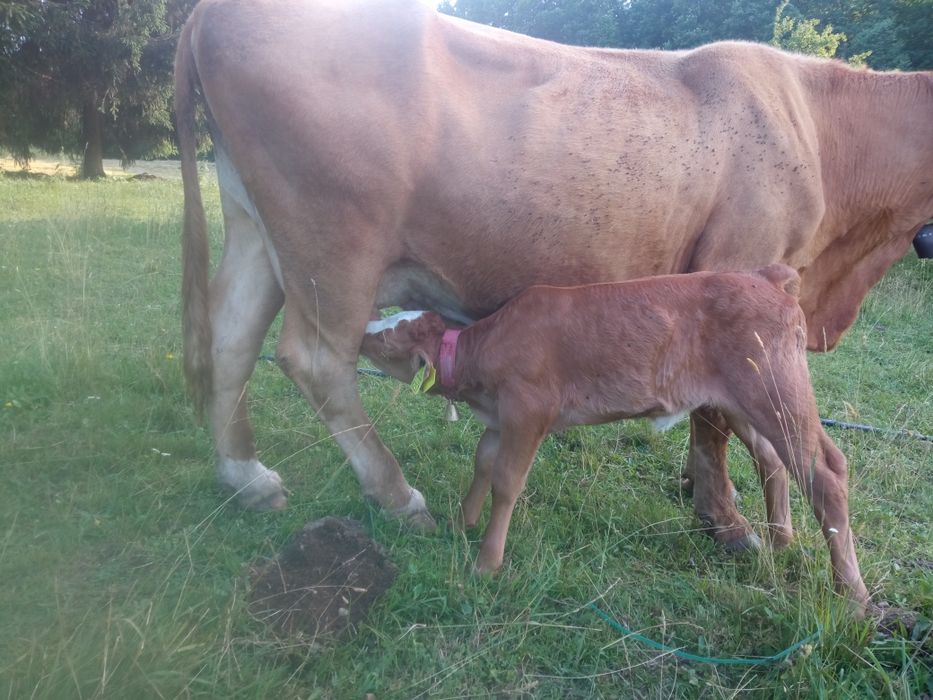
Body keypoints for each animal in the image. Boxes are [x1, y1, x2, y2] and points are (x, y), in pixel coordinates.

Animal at [174, 0, 933, 551]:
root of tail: (215, 10)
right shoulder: (738, 263)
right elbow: (713, 419)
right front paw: (726, 522)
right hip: (333, 243)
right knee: (313, 360)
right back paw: (398, 496)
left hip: (256, 225)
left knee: (230, 337)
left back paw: (246, 477)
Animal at [358, 265, 869, 612]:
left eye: (388, 339)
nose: (361, 330)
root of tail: (765, 278)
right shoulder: (501, 416)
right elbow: (482, 462)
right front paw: (461, 524)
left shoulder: (529, 410)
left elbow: (506, 481)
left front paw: (486, 562)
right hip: (741, 401)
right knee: (775, 459)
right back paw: (780, 541)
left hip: (776, 389)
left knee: (825, 470)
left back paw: (852, 595)